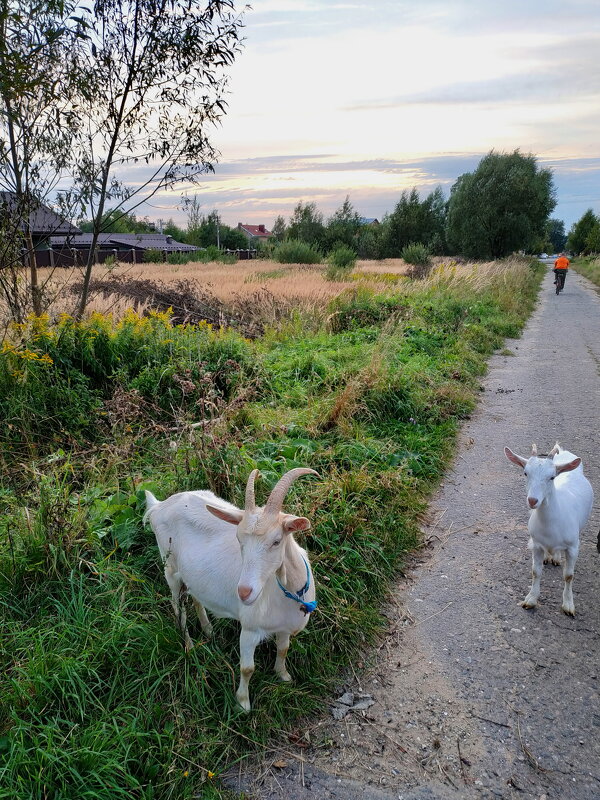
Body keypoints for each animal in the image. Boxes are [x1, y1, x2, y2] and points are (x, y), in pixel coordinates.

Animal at [144, 468, 318, 712]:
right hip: (170, 568)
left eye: (276, 541)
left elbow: (283, 649)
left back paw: (208, 630)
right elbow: (247, 668)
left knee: (196, 598)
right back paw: (189, 646)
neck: (288, 593)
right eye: (239, 539)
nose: (244, 592)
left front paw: (283, 676)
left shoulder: (284, 627)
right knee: (178, 607)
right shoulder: (250, 629)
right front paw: (243, 703)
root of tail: (159, 506)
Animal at [504, 440, 592, 616]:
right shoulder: (536, 544)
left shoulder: (573, 547)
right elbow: (535, 571)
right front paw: (531, 599)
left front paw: (568, 605)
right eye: (525, 473)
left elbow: (569, 576)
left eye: (552, 477)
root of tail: (564, 454)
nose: (532, 500)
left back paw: (556, 558)